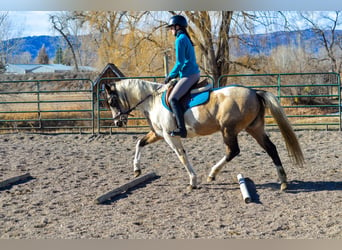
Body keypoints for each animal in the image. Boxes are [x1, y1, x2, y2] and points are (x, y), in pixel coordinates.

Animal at [103, 79, 304, 190]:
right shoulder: (158, 134)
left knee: (233, 151)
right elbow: (139, 143)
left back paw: (212, 173)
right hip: (254, 128)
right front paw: (136, 169)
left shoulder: (170, 136)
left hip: (228, 130)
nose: (118, 122)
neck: (152, 100)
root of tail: (254, 92)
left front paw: (193, 181)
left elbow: (182, 156)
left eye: (111, 101)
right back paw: (283, 181)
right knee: (271, 148)